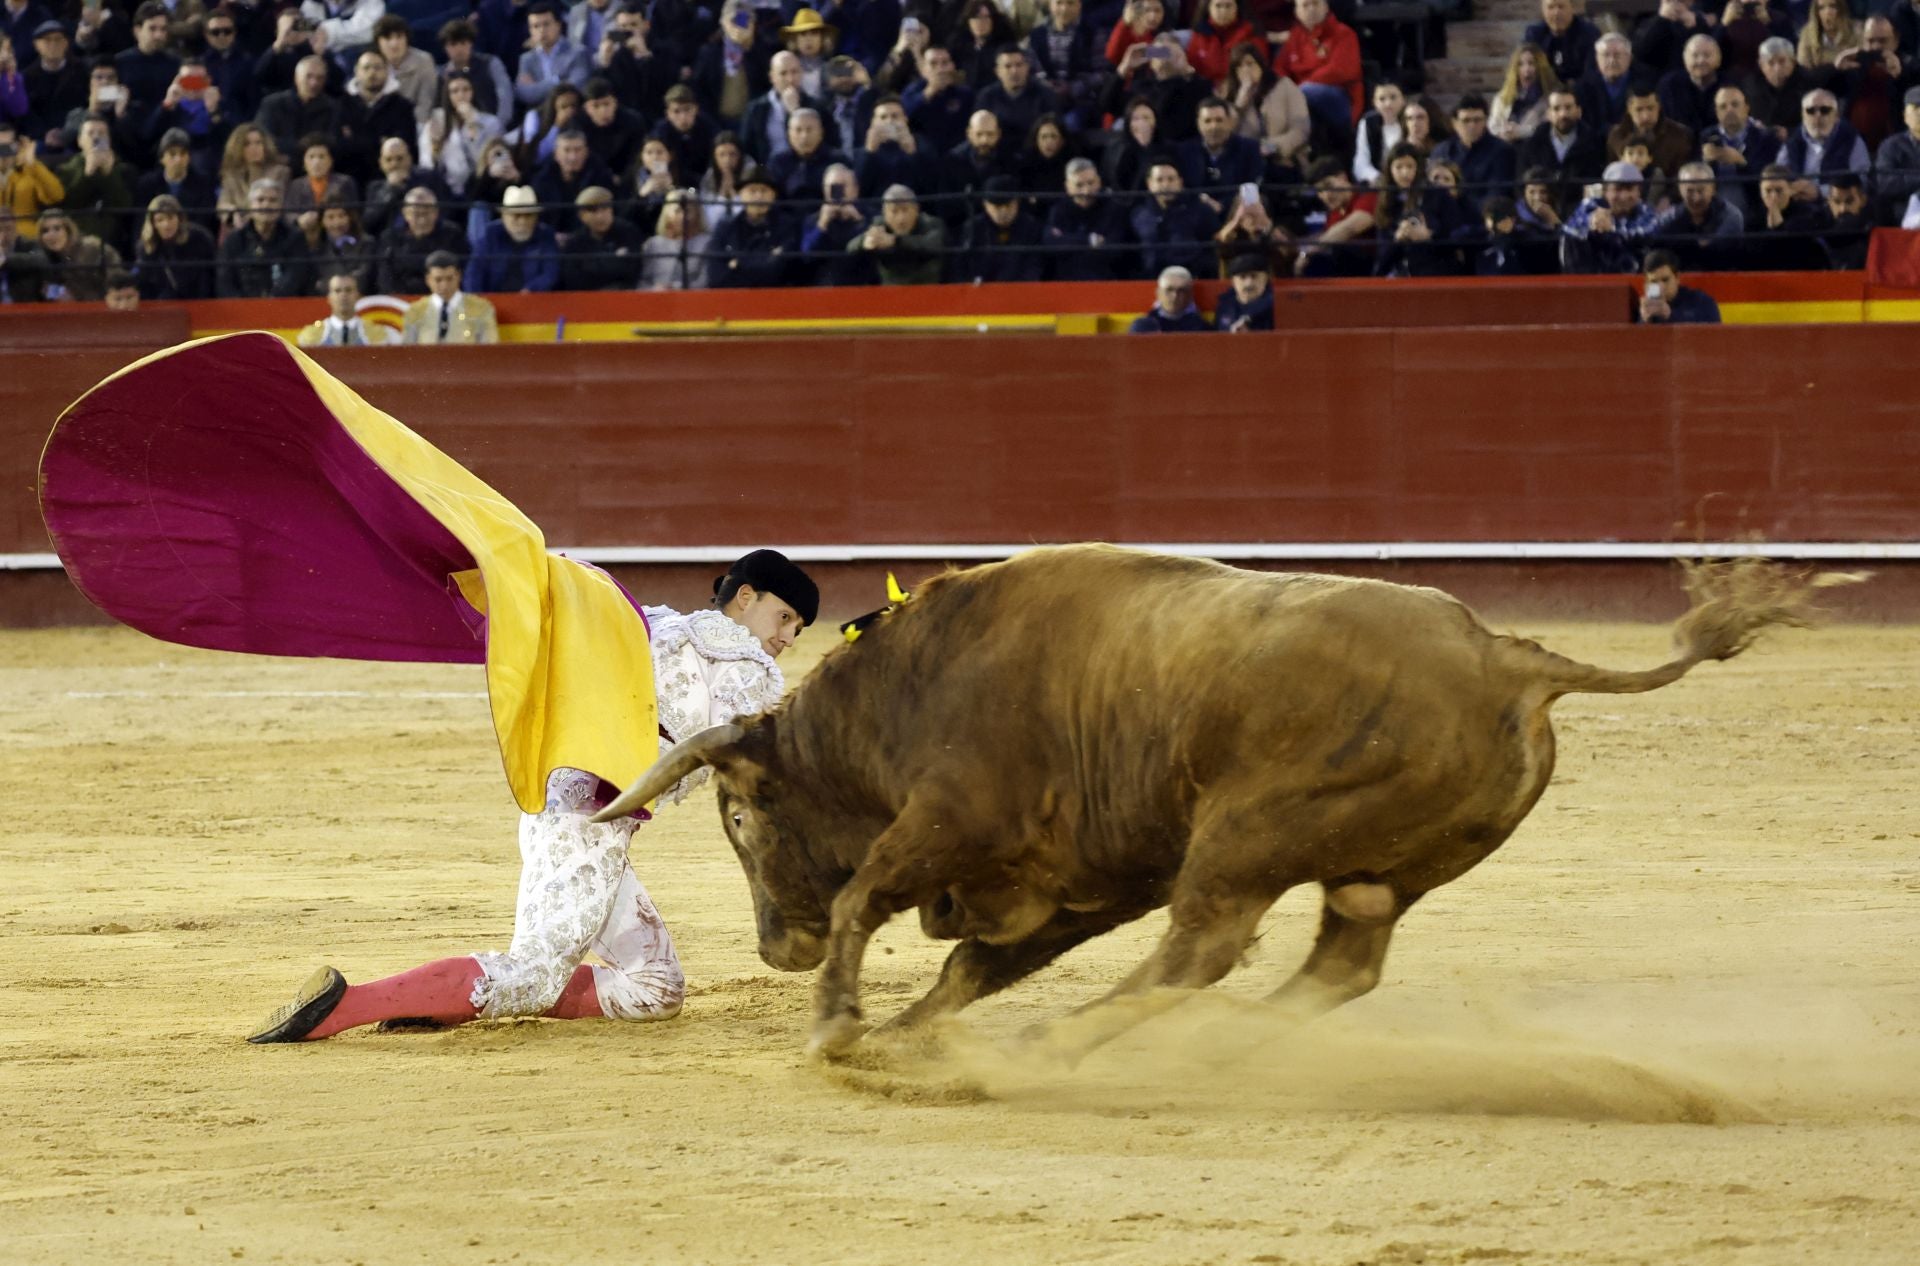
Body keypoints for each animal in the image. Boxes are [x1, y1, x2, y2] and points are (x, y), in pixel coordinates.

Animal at [595, 541, 1843, 1060]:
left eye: (741, 819)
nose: (778, 951)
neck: (897, 698)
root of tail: (1511, 659)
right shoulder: (1093, 883)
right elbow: (974, 965)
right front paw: (900, 1038)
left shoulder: (955, 823)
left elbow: (870, 901)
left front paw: (838, 1027)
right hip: (1377, 867)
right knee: (1339, 961)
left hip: (1251, 832)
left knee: (1211, 947)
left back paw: (1064, 1040)